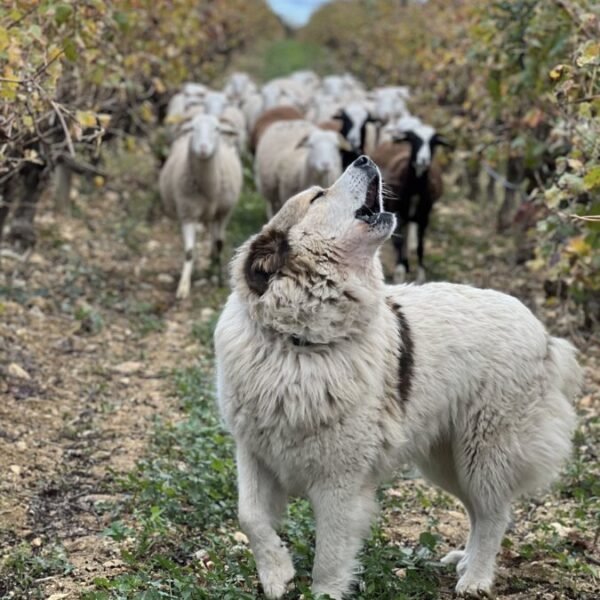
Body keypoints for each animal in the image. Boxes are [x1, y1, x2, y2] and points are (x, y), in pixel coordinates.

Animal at [161, 112, 245, 298]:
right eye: (193, 128)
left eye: (217, 129)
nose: (203, 149)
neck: (209, 189)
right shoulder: (188, 214)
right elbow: (189, 252)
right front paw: (183, 286)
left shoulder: (223, 213)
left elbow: (220, 244)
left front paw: (219, 280)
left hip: (217, 216)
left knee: (214, 239)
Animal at [214, 157, 580, 596]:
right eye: (317, 197)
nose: (364, 159)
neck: (298, 345)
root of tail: (545, 335)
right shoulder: (254, 452)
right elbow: (249, 516)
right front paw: (276, 572)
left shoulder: (339, 481)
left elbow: (329, 552)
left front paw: (324, 591)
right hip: (447, 459)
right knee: (478, 512)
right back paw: (465, 560)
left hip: (484, 454)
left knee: (494, 515)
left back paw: (475, 577)